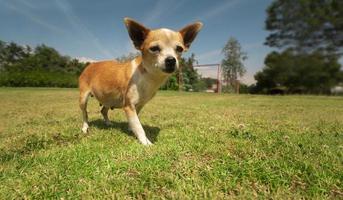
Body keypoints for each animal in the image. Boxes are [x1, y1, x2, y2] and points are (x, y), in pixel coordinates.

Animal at [78, 17, 202, 145]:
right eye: (154, 49)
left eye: (179, 49)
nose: (171, 60)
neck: (149, 76)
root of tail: (90, 65)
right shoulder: (129, 106)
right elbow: (138, 126)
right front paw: (146, 142)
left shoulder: (139, 105)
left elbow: (135, 121)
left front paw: (131, 129)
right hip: (84, 98)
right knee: (85, 113)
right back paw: (85, 127)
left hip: (109, 98)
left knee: (103, 110)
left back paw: (108, 123)